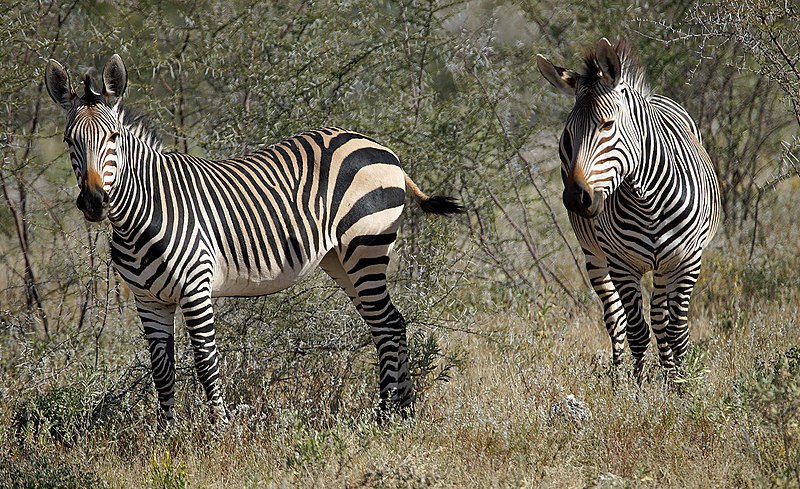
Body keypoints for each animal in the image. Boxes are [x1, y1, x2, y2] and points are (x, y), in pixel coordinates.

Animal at [45, 53, 462, 426]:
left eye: (113, 137)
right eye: (68, 140)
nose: (94, 201)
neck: (140, 216)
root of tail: (379, 146)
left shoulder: (195, 288)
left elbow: (205, 362)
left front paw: (218, 432)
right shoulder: (147, 300)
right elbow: (161, 370)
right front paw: (165, 436)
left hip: (366, 246)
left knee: (387, 324)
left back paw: (385, 415)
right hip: (341, 259)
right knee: (390, 322)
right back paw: (401, 412)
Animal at [536, 38, 720, 382]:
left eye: (607, 125)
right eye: (566, 136)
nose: (576, 199)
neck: (646, 201)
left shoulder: (688, 261)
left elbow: (676, 330)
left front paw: (680, 384)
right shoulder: (621, 265)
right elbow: (636, 330)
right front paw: (635, 385)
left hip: (664, 266)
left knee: (661, 317)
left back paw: (668, 371)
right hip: (595, 256)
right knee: (616, 318)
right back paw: (619, 374)